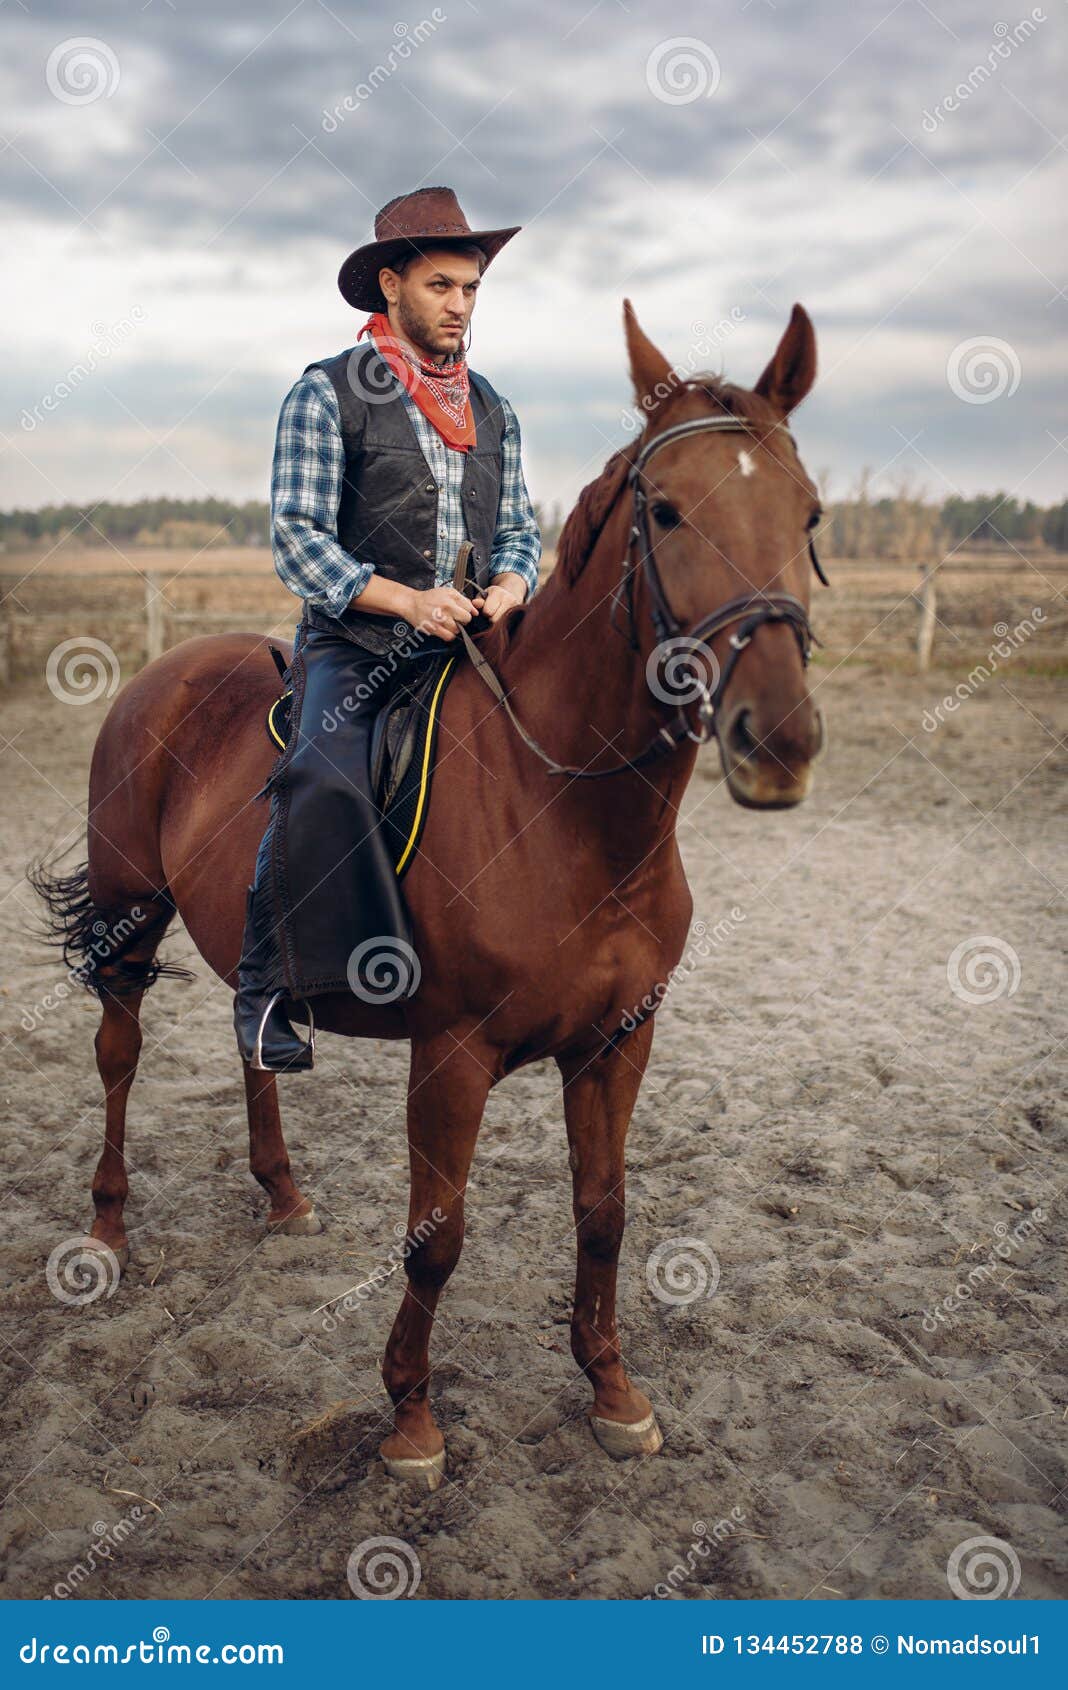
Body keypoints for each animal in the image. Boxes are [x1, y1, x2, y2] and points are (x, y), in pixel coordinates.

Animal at [27, 297, 824, 1487]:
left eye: (809, 512)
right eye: (668, 510)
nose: (777, 741)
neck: (564, 811)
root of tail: (163, 676)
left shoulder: (620, 1039)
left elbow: (605, 1212)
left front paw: (614, 1392)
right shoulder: (453, 1052)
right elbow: (437, 1236)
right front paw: (410, 1417)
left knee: (249, 1037)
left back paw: (283, 1194)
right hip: (130, 914)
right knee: (118, 1053)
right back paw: (108, 1235)